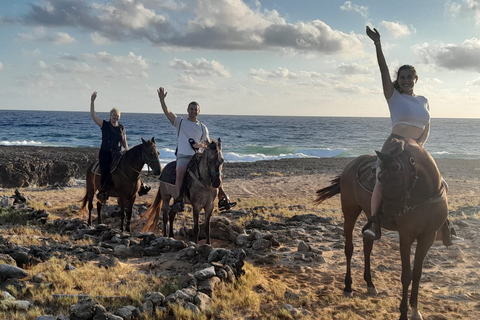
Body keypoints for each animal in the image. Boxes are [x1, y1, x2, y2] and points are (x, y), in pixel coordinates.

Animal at [316, 138, 448, 320]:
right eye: (379, 178)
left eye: (393, 176)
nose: (388, 212)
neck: (425, 197)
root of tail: (352, 164)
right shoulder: (406, 237)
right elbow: (406, 275)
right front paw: (403, 313)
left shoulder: (427, 237)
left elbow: (417, 273)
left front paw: (415, 310)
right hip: (350, 213)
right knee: (349, 249)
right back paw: (348, 286)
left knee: (367, 246)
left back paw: (370, 284)